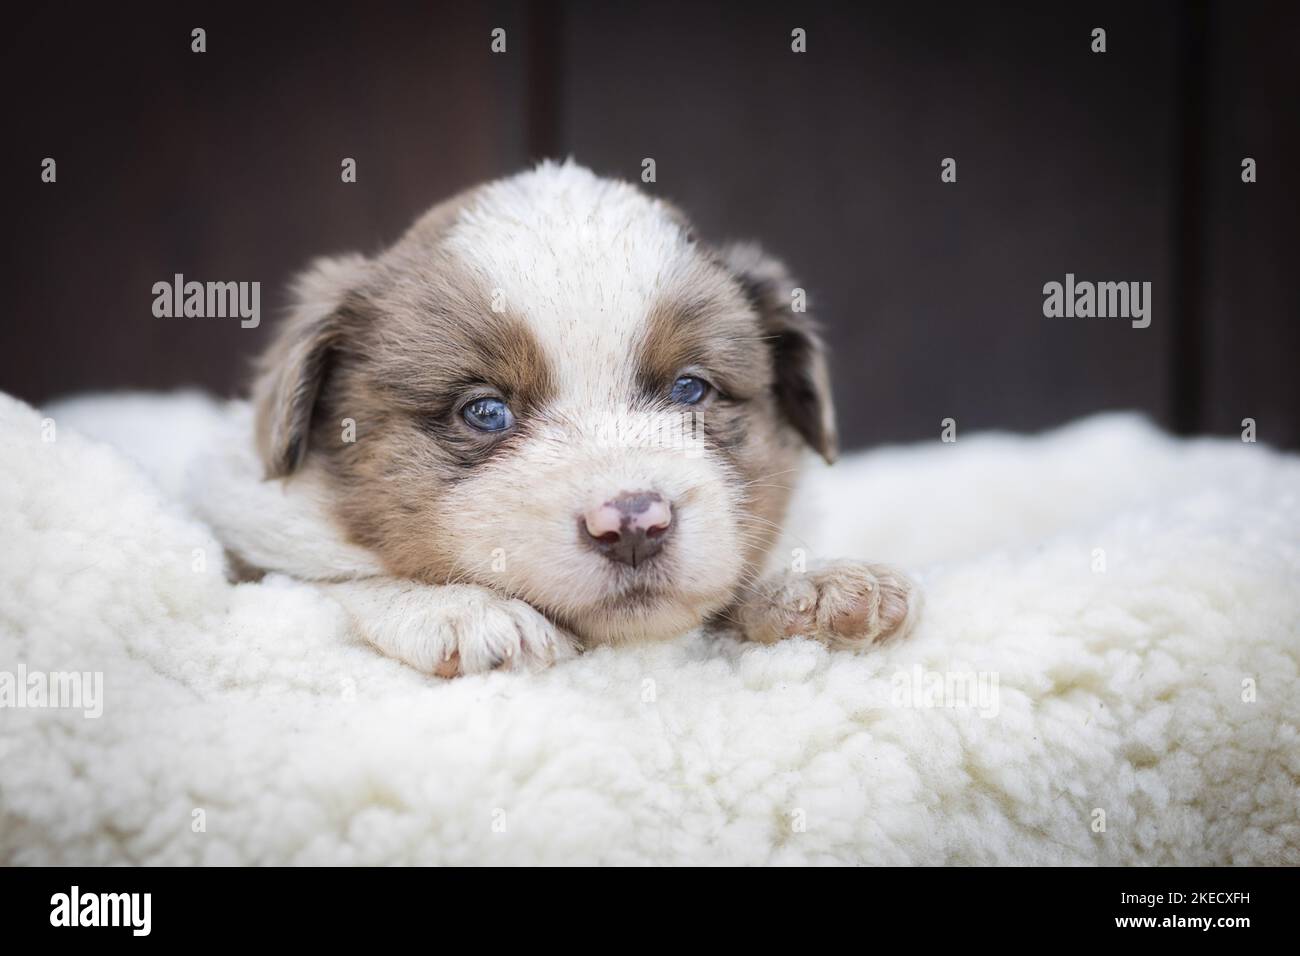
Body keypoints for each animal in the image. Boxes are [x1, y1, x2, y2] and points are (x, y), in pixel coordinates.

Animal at [244, 162, 915, 671]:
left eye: (690, 389)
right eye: (485, 411)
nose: (635, 525)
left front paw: (816, 587)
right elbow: (328, 583)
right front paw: (463, 610)